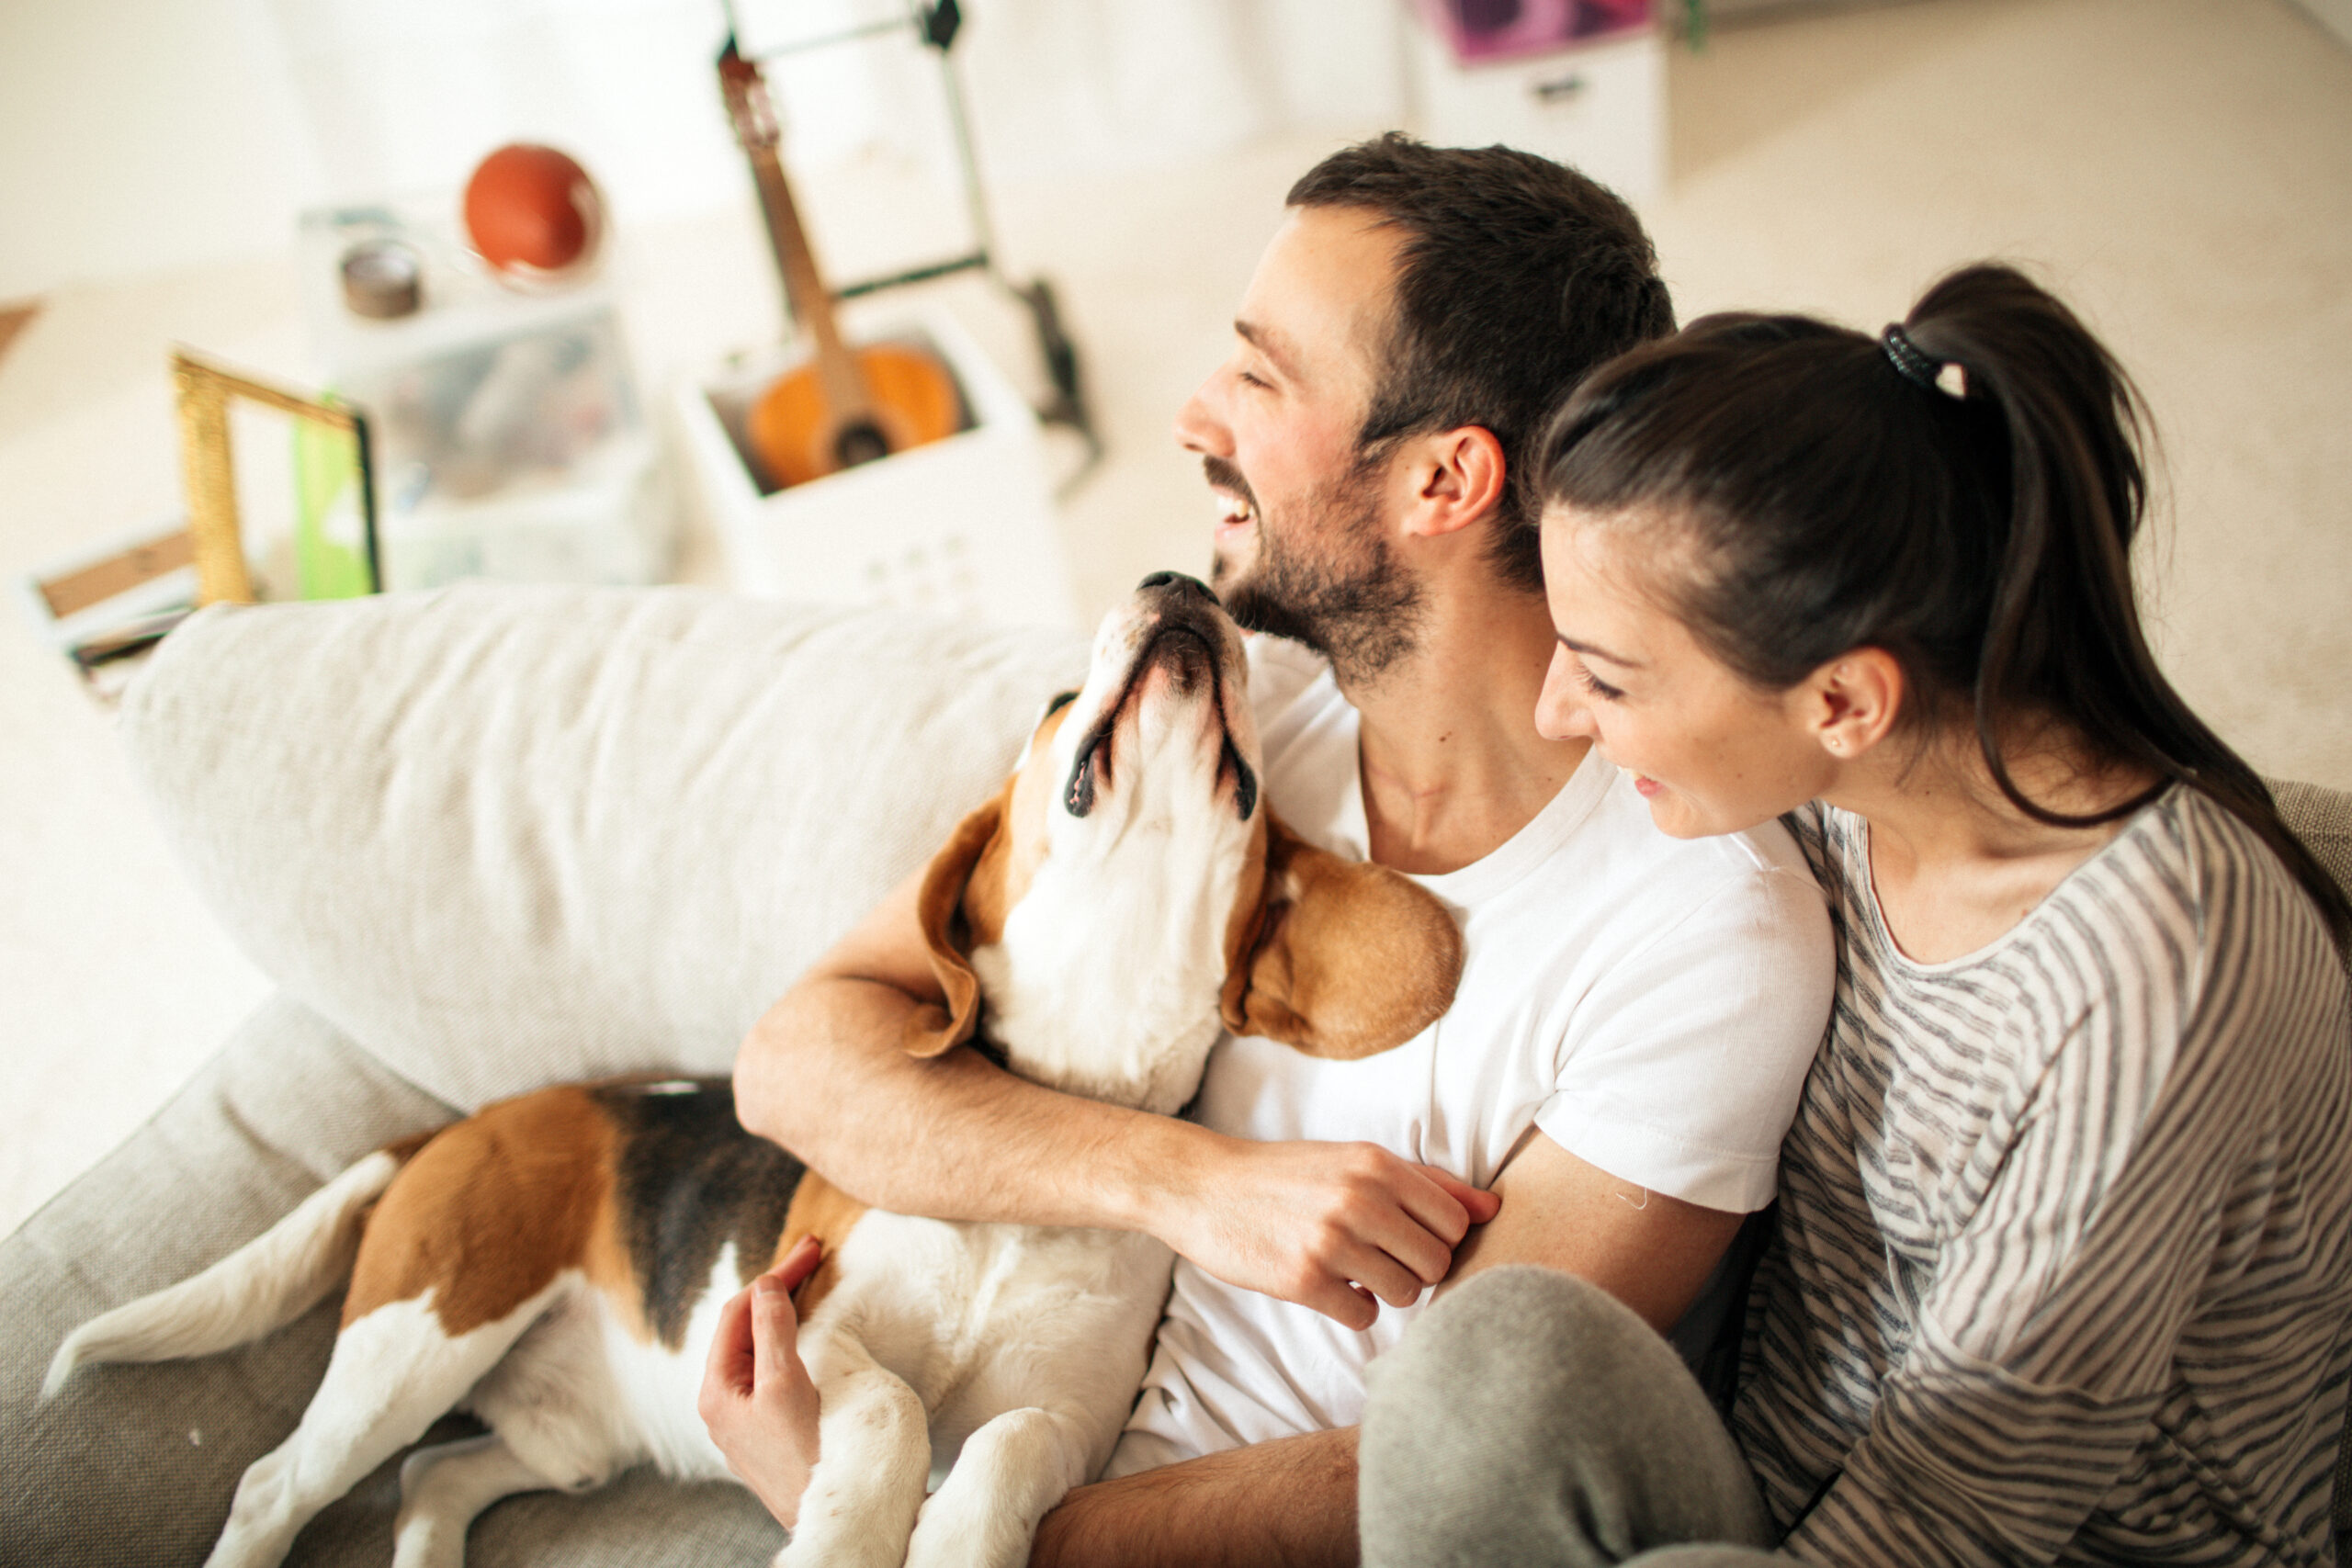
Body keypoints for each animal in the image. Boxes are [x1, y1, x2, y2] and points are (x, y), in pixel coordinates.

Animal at [45, 576, 1458, 1568]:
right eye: (1059, 704)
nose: (1181, 580)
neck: (1052, 1126)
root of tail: (479, 1121)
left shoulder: (1071, 1419)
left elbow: (1000, 1444)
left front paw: (957, 1540)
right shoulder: (807, 1323)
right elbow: (889, 1413)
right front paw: (846, 1531)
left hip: (560, 1438)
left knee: (431, 1478)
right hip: (418, 1336)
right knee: (275, 1485)